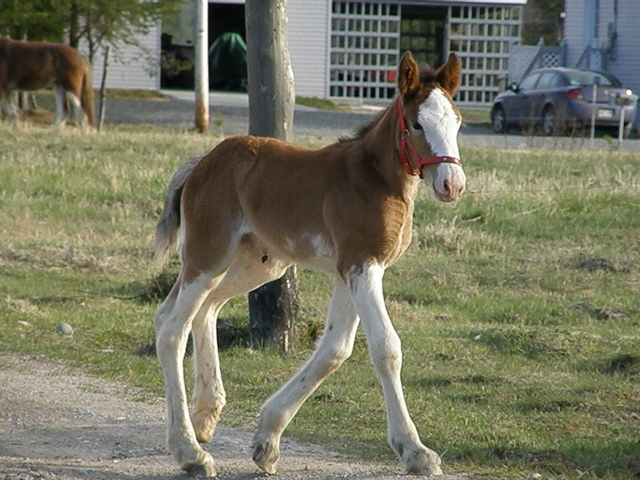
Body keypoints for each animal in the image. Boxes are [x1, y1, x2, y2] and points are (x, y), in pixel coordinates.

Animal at [154, 51, 464, 476]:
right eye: (418, 123)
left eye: (458, 121)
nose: (452, 183)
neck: (373, 179)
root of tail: (201, 163)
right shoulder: (361, 265)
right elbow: (386, 348)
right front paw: (415, 450)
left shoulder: (350, 271)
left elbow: (335, 350)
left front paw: (267, 439)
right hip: (208, 254)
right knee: (172, 329)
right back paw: (190, 451)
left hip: (257, 263)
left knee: (200, 310)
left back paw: (204, 418)